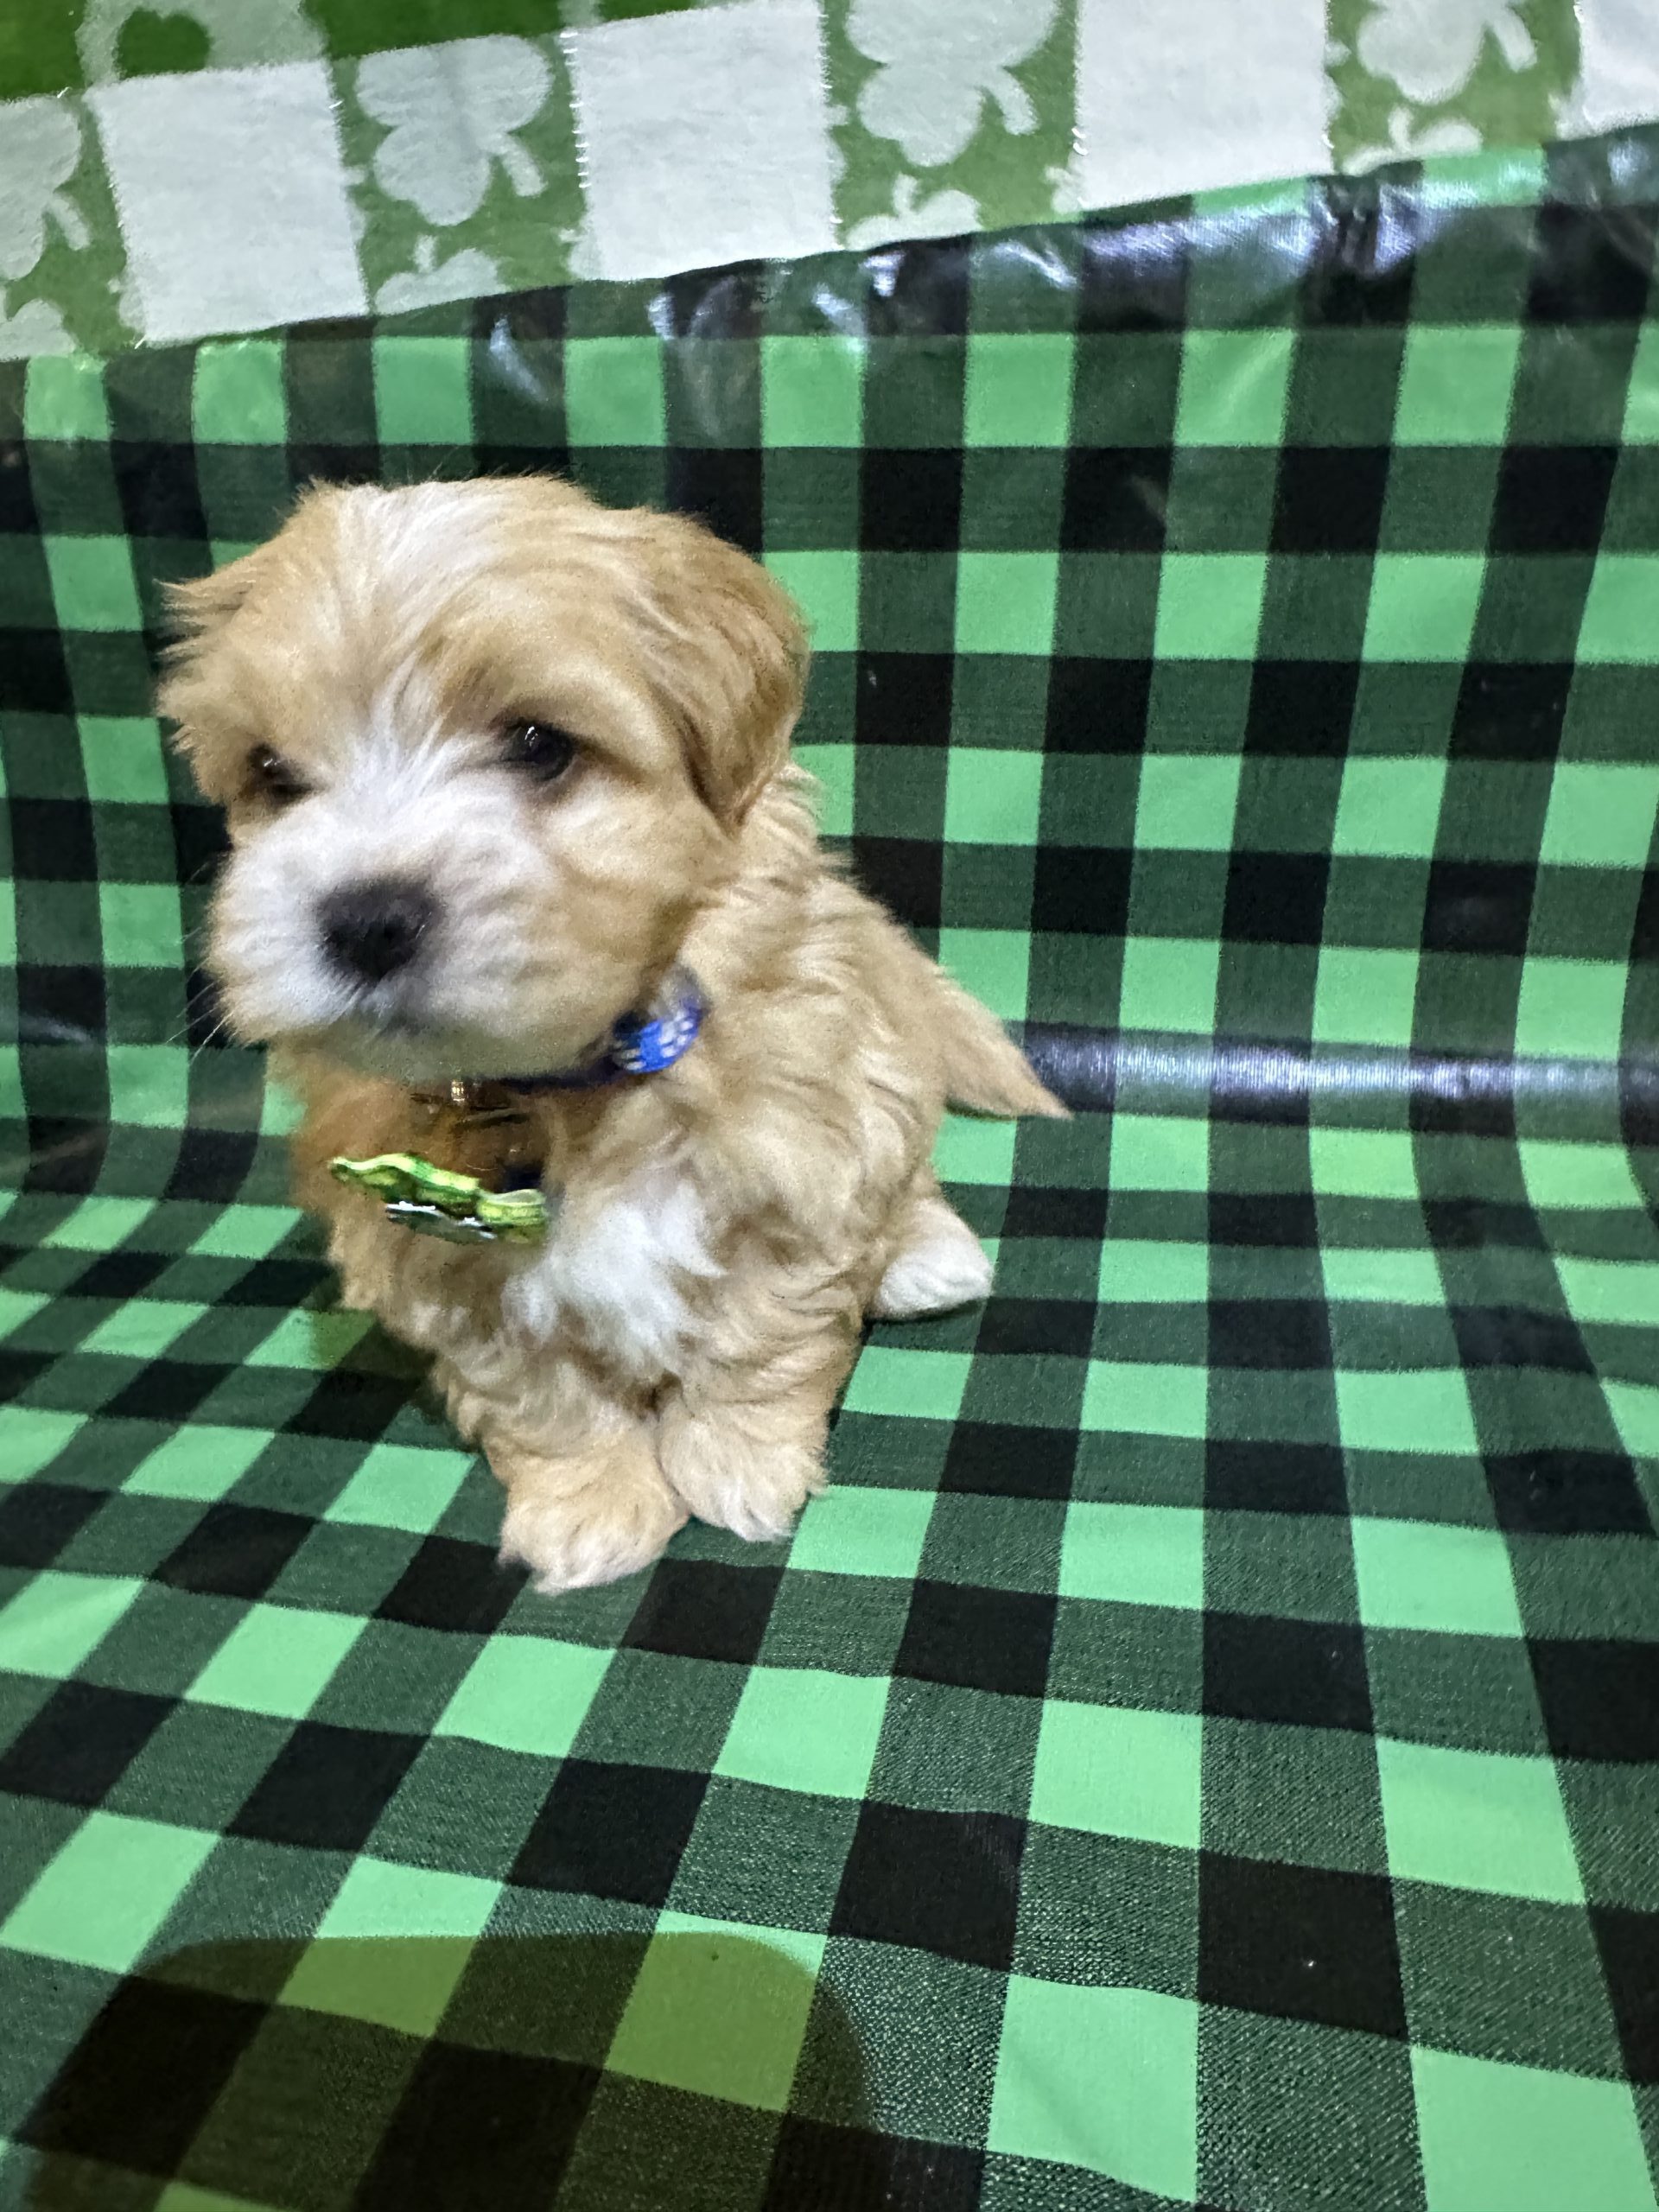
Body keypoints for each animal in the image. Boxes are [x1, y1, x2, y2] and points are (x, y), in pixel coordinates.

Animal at [160, 478, 1062, 1592]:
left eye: (540, 743)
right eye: (272, 774)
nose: (364, 918)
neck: (575, 1082)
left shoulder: (806, 1152)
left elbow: (764, 1333)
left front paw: (739, 1462)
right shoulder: (440, 1265)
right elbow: (540, 1395)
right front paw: (592, 1503)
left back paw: (928, 1252)